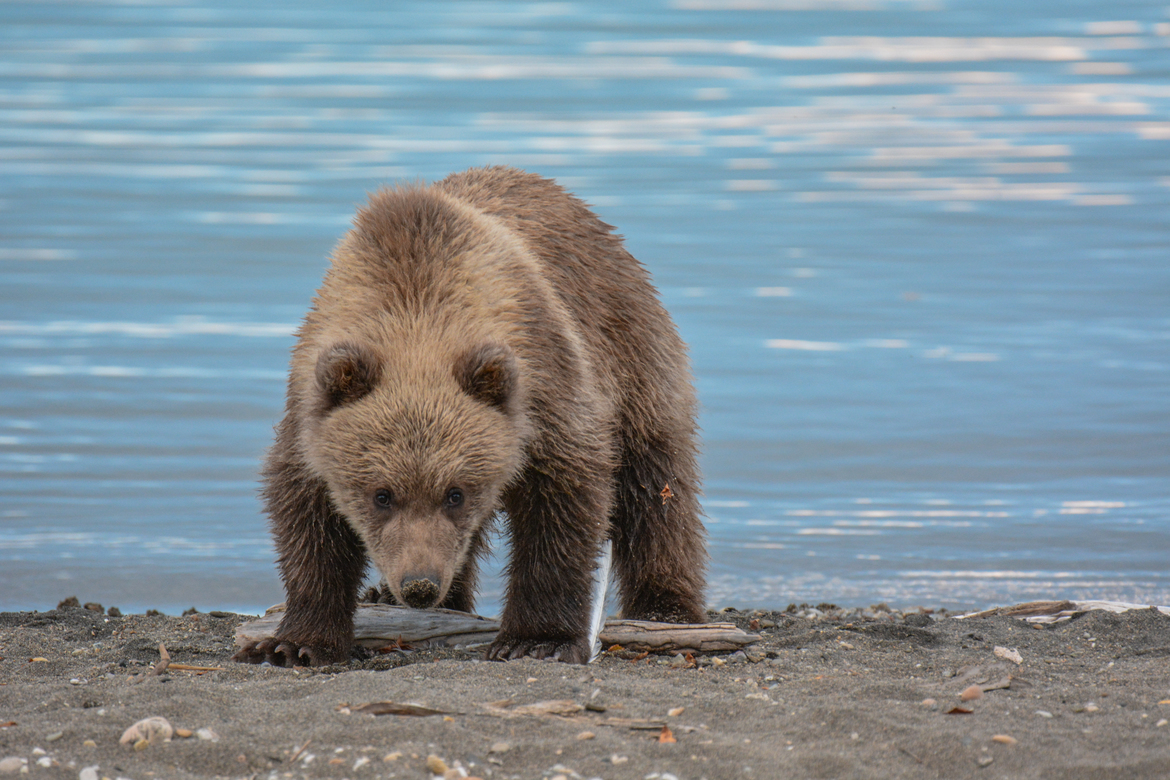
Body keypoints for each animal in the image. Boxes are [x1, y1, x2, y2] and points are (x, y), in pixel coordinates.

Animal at [232, 166, 707, 666]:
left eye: (454, 493)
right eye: (382, 495)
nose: (420, 585)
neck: (417, 311)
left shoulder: (545, 392)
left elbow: (562, 505)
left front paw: (536, 639)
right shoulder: (310, 408)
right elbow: (309, 519)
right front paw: (295, 642)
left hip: (631, 354)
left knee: (655, 490)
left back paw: (666, 609)